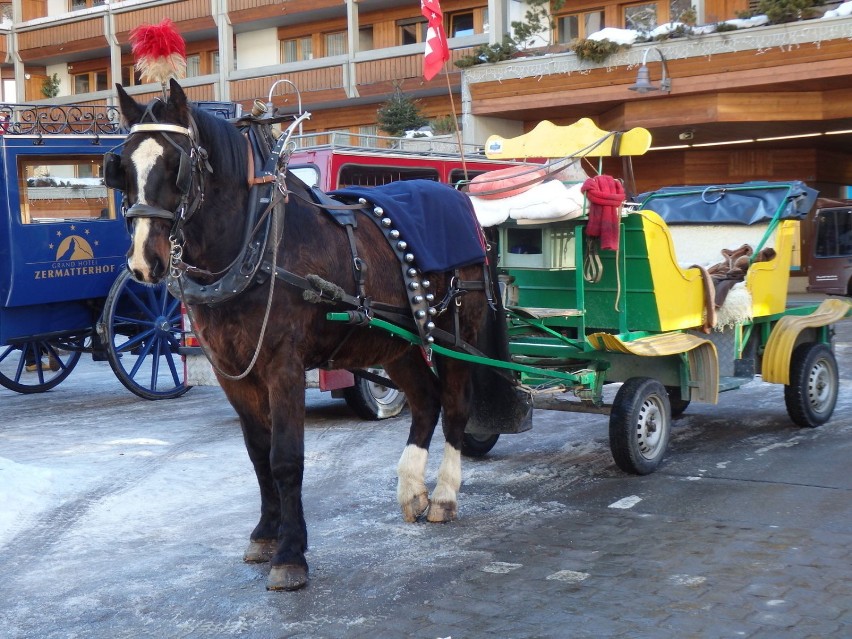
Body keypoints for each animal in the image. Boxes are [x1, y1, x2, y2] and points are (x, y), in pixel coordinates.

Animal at [110, 81, 502, 596]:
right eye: (121, 166)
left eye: (176, 163)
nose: (143, 262)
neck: (256, 242)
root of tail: (467, 209)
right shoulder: (233, 373)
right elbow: (258, 455)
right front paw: (265, 534)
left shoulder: (284, 366)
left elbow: (285, 459)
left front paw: (291, 554)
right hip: (394, 344)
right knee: (425, 401)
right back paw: (412, 488)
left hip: (454, 335)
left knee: (454, 404)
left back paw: (444, 495)